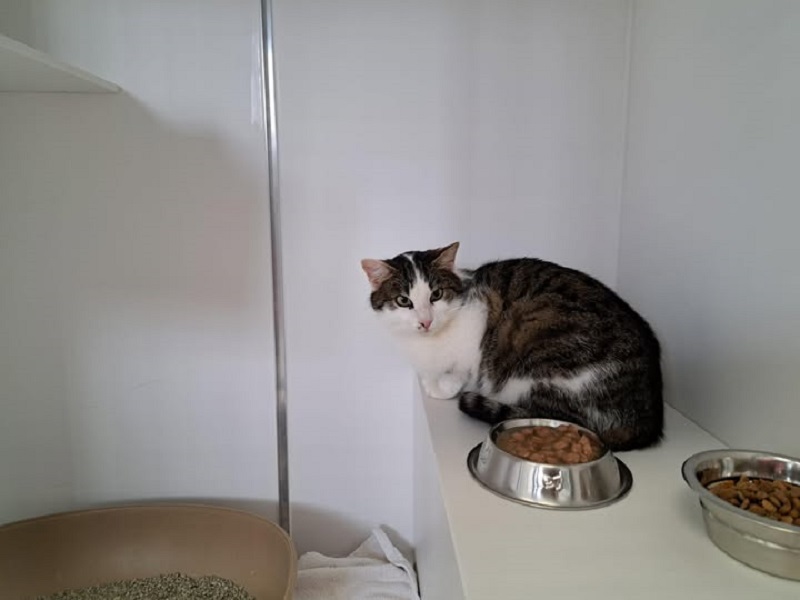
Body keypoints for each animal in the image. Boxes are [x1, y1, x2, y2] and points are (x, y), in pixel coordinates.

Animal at [361, 242, 663, 451]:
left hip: (542, 365)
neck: (429, 342)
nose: (425, 321)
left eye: (436, 295)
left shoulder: (476, 336)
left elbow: (461, 371)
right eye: (403, 301)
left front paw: (442, 386)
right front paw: (429, 381)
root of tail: (647, 418)